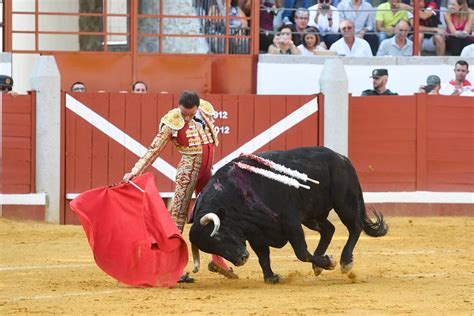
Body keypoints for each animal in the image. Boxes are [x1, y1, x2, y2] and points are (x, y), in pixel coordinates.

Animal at [187, 147, 386, 282]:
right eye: (210, 248)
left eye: (218, 237)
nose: (241, 259)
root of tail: (342, 158)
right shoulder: (256, 232)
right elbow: (263, 256)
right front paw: (272, 278)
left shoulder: (290, 222)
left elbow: (301, 252)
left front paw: (330, 262)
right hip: (312, 216)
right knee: (329, 229)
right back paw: (318, 265)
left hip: (344, 202)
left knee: (354, 227)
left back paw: (344, 262)